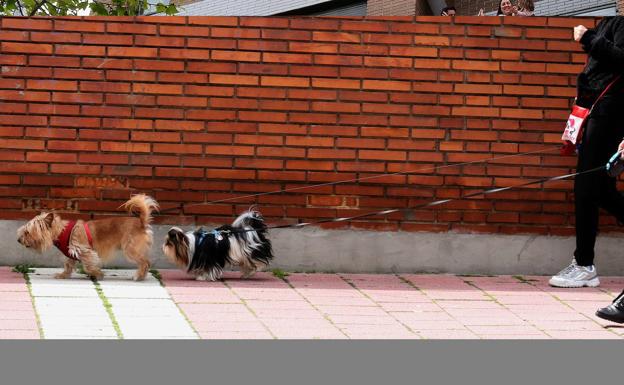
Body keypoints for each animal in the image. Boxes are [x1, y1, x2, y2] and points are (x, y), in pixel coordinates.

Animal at [17, 195, 158, 280]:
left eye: (27, 232)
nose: (18, 240)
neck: (62, 230)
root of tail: (141, 222)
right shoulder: (71, 253)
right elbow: (68, 265)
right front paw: (63, 275)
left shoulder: (85, 251)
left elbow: (88, 266)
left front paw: (97, 274)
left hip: (130, 250)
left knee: (145, 262)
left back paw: (139, 276)